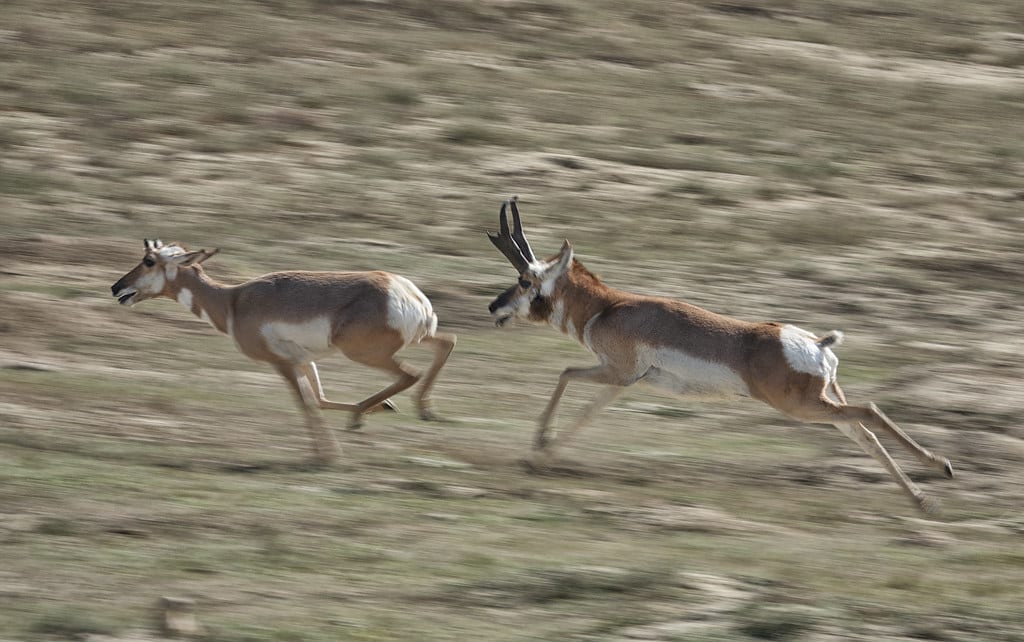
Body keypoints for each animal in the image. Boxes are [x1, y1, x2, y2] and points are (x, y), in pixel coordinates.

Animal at [111, 239, 456, 463]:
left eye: (149, 261)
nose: (116, 288)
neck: (232, 301)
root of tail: (407, 294)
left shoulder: (282, 364)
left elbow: (307, 404)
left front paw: (327, 456)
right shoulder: (303, 361)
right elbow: (320, 399)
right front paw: (382, 408)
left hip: (364, 354)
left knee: (411, 373)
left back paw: (364, 417)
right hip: (415, 339)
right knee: (447, 342)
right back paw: (416, 411)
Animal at [486, 198, 953, 514]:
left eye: (525, 280)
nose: (493, 307)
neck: (609, 306)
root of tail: (817, 344)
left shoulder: (615, 373)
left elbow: (564, 374)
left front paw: (537, 447)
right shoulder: (623, 382)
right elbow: (587, 413)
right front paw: (541, 456)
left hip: (803, 407)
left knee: (869, 412)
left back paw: (941, 468)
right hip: (824, 403)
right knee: (864, 431)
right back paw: (923, 497)